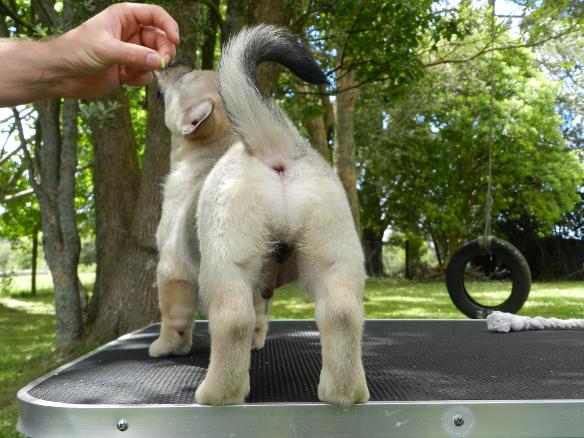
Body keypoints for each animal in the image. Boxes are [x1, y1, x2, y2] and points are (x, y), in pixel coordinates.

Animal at [151, 24, 370, 408]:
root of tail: (270, 145)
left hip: (226, 265)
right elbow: (259, 316)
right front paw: (257, 342)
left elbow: (173, 316)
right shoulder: (262, 285)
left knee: (232, 322)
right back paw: (343, 392)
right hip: (334, 257)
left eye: (183, 79)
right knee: (342, 317)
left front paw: (165, 346)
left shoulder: (172, 268)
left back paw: (217, 394)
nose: (175, 59)